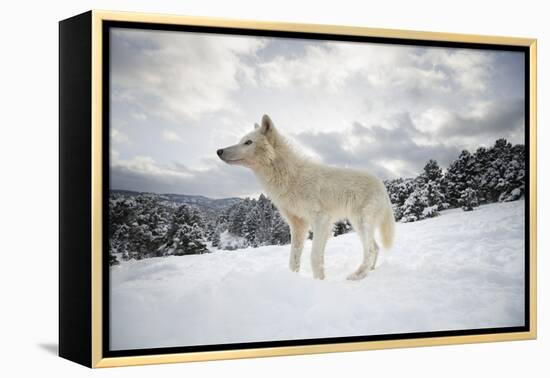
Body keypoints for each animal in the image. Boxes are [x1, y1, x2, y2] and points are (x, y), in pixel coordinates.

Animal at [217, 113, 396, 280]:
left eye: (248, 142)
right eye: (241, 140)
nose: (219, 151)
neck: (290, 176)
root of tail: (381, 185)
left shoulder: (322, 220)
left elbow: (315, 257)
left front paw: (319, 281)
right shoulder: (298, 225)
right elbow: (293, 259)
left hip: (361, 222)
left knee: (370, 250)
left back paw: (356, 276)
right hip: (357, 224)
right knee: (376, 248)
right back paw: (369, 272)